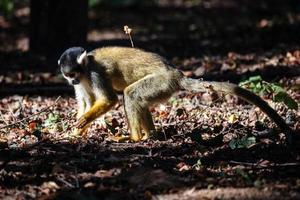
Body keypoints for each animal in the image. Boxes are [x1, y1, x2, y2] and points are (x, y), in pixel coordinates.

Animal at [58, 46, 292, 141]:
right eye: (68, 75)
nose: (72, 80)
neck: (85, 71)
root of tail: (177, 73)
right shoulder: (82, 80)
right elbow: (86, 102)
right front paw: (76, 132)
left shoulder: (94, 73)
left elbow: (109, 99)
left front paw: (82, 122)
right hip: (164, 86)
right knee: (137, 98)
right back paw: (149, 136)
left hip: (162, 81)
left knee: (130, 94)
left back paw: (134, 139)